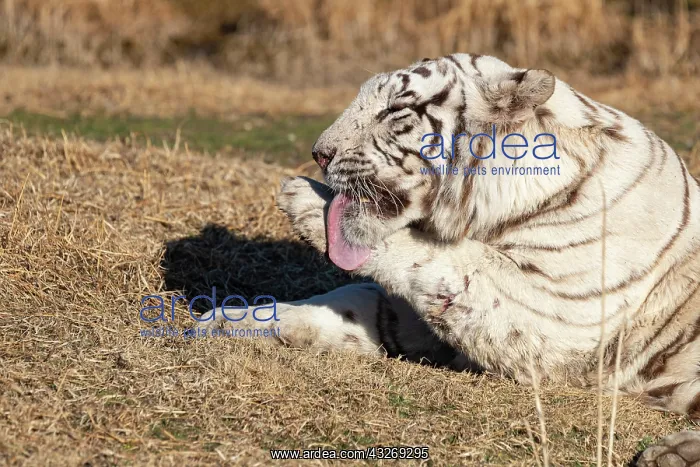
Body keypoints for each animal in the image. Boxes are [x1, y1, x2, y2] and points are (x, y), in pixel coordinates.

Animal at [199, 54, 700, 464]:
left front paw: (308, 199)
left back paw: (670, 453)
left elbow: (452, 261)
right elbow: (354, 300)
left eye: (393, 111)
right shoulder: (415, 319)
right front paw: (225, 318)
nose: (318, 155)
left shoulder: (557, 317)